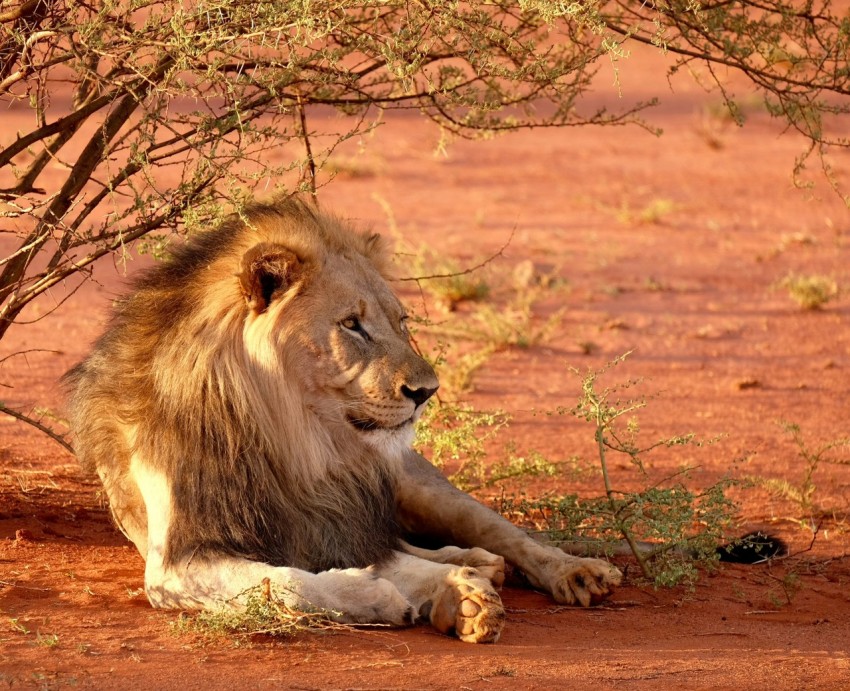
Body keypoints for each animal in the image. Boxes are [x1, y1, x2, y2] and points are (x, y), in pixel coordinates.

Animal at [64, 198, 621, 643]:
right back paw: (472, 564)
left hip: (414, 483)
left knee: (504, 532)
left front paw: (456, 594)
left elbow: (380, 559)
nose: (427, 391)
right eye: (352, 325)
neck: (292, 438)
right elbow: (287, 581)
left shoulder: (329, 519)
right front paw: (395, 596)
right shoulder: (176, 563)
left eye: (401, 323)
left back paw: (570, 572)